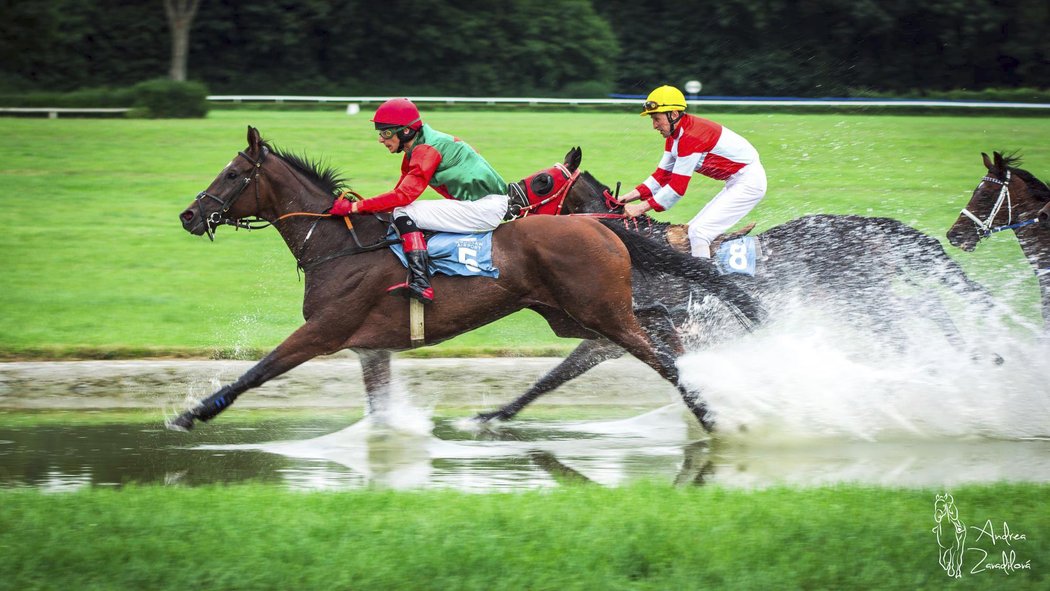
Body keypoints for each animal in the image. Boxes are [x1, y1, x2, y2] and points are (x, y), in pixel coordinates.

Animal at [170, 127, 764, 432]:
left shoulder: (324, 330)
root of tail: (601, 228)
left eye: (231, 174)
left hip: (597, 313)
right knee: (657, 321)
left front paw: (194, 412)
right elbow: (377, 405)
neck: (340, 246)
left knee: (656, 353)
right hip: (575, 315)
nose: (189, 215)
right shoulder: (370, 346)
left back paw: (707, 409)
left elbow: (259, 370)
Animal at [472, 150, 995, 424]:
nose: (506, 202)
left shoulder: (620, 328)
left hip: (868, 303)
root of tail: (867, 226)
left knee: (919, 317)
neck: (633, 250)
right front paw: (496, 415)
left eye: (542, 180)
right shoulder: (610, 333)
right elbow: (553, 376)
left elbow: (561, 373)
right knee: (923, 310)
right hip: (868, 303)